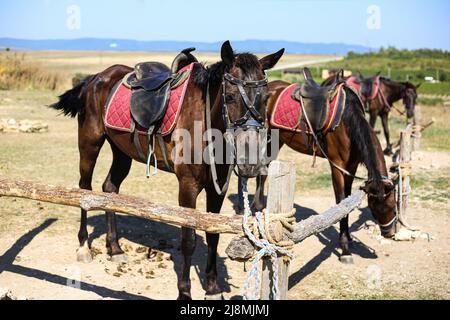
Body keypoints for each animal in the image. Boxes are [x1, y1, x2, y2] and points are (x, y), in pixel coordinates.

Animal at [50, 40, 284, 300]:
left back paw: (115, 248)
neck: (205, 124)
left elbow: (212, 234)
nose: (250, 161)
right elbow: (188, 239)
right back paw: (83, 246)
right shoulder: (188, 186)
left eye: (265, 98)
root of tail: (95, 78)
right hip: (90, 141)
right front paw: (184, 291)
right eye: (231, 96)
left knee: (109, 188)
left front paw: (213, 288)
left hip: (121, 151)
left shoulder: (217, 188)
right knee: (84, 188)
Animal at [243, 69, 398, 264]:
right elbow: (341, 201)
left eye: (394, 205)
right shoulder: (337, 167)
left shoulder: (351, 167)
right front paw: (345, 249)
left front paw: (349, 240)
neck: (347, 122)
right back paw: (256, 207)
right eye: (376, 209)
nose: (389, 233)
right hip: (268, 138)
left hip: (278, 141)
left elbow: (347, 200)